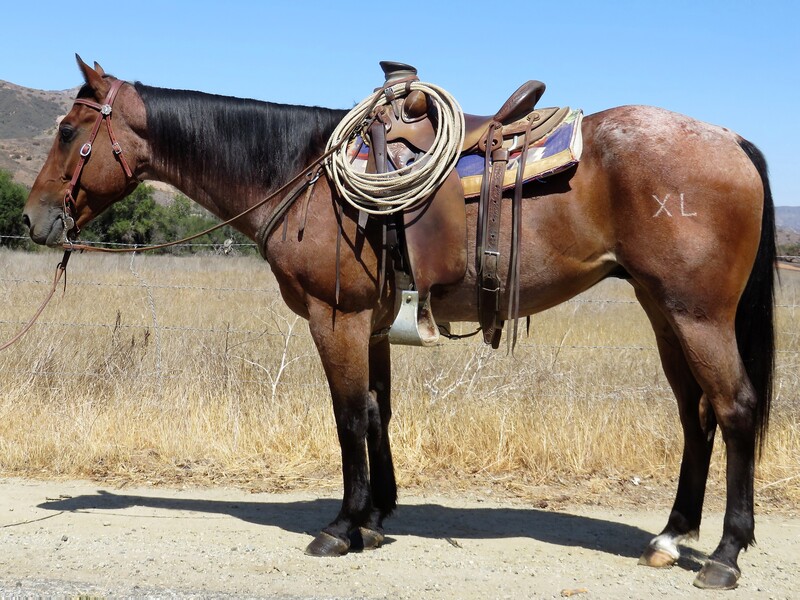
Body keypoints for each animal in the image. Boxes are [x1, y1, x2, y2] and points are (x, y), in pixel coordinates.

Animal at [23, 57, 776, 592]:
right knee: (695, 415)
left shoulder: (337, 318)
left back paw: (725, 555)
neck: (300, 171)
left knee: (734, 410)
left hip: (698, 314)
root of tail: (731, 139)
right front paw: (378, 517)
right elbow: (379, 411)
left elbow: (349, 415)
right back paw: (671, 537)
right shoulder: (376, 324)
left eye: (69, 132)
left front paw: (342, 526)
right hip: (662, 308)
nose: (33, 219)